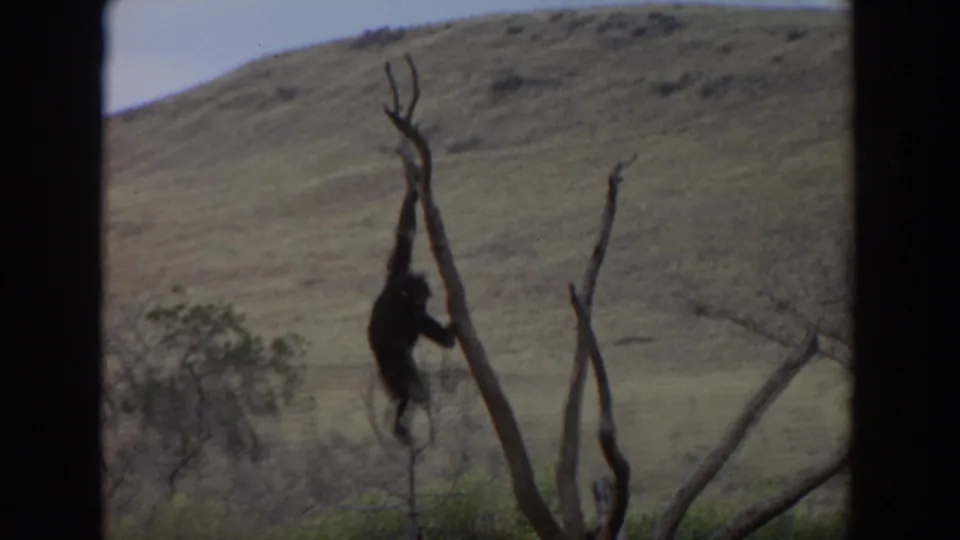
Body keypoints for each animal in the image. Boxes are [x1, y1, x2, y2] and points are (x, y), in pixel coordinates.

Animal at [367, 174, 458, 447]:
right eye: (422, 296)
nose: (423, 301)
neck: (401, 295)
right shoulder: (410, 314)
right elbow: (433, 330)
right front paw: (452, 332)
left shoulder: (396, 272)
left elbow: (404, 237)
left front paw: (413, 192)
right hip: (394, 367)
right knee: (415, 390)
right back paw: (399, 426)